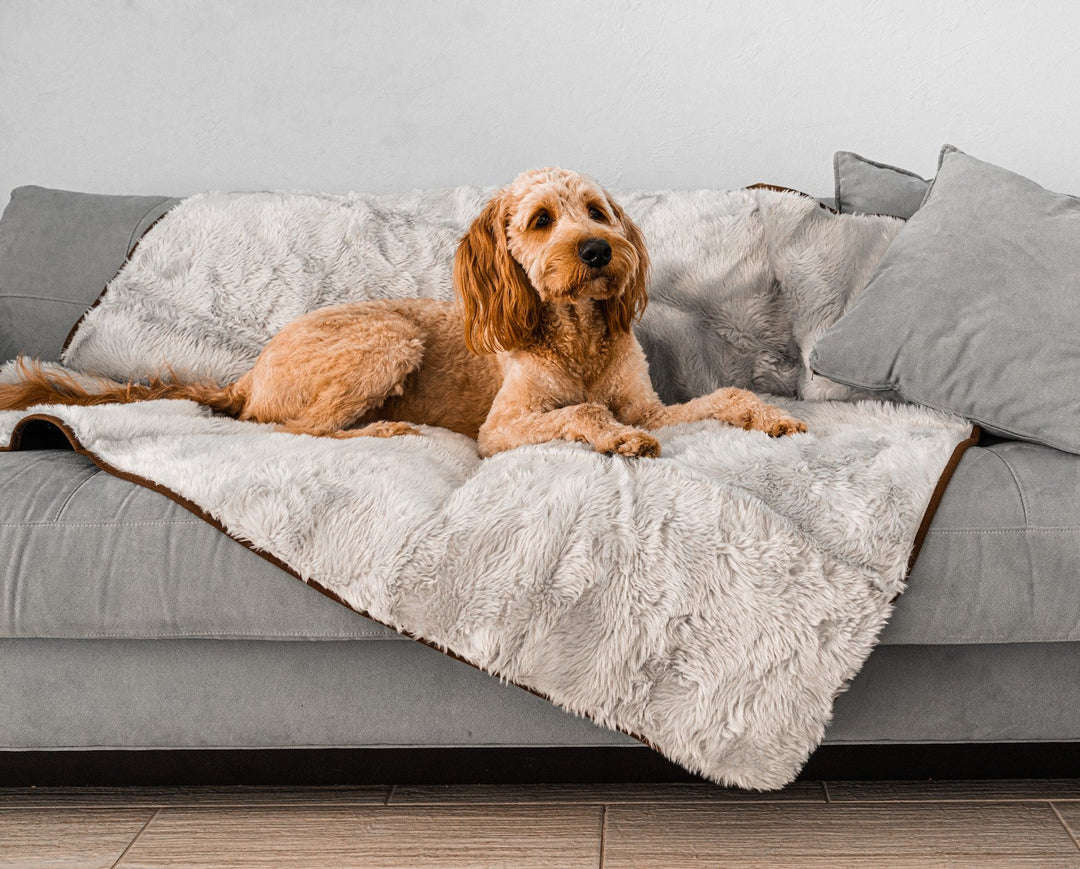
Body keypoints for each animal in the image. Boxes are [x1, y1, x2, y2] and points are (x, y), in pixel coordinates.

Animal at [0, 165, 803, 457]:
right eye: (543, 220)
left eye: (597, 212)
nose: (602, 250)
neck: (574, 333)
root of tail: (249, 373)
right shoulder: (503, 429)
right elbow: (581, 411)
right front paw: (612, 438)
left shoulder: (647, 402)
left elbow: (721, 396)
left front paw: (771, 415)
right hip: (386, 338)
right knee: (297, 428)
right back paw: (383, 428)